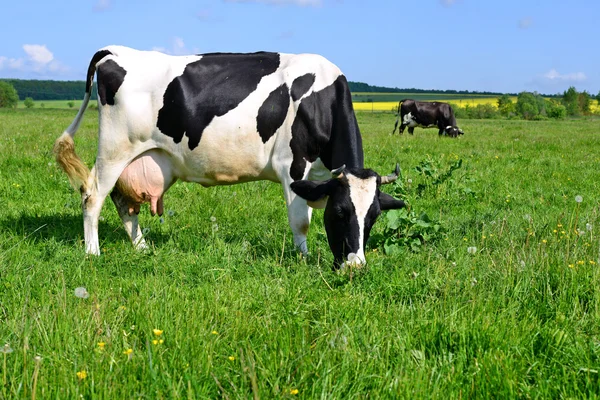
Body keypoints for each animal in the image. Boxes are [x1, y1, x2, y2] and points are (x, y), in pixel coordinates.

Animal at [54, 45, 406, 268]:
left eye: (373, 217)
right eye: (340, 212)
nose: (355, 266)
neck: (321, 98)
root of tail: (115, 51)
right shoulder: (292, 167)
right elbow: (301, 221)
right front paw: (303, 259)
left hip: (147, 158)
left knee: (124, 203)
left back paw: (141, 248)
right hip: (115, 149)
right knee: (93, 196)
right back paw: (93, 253)